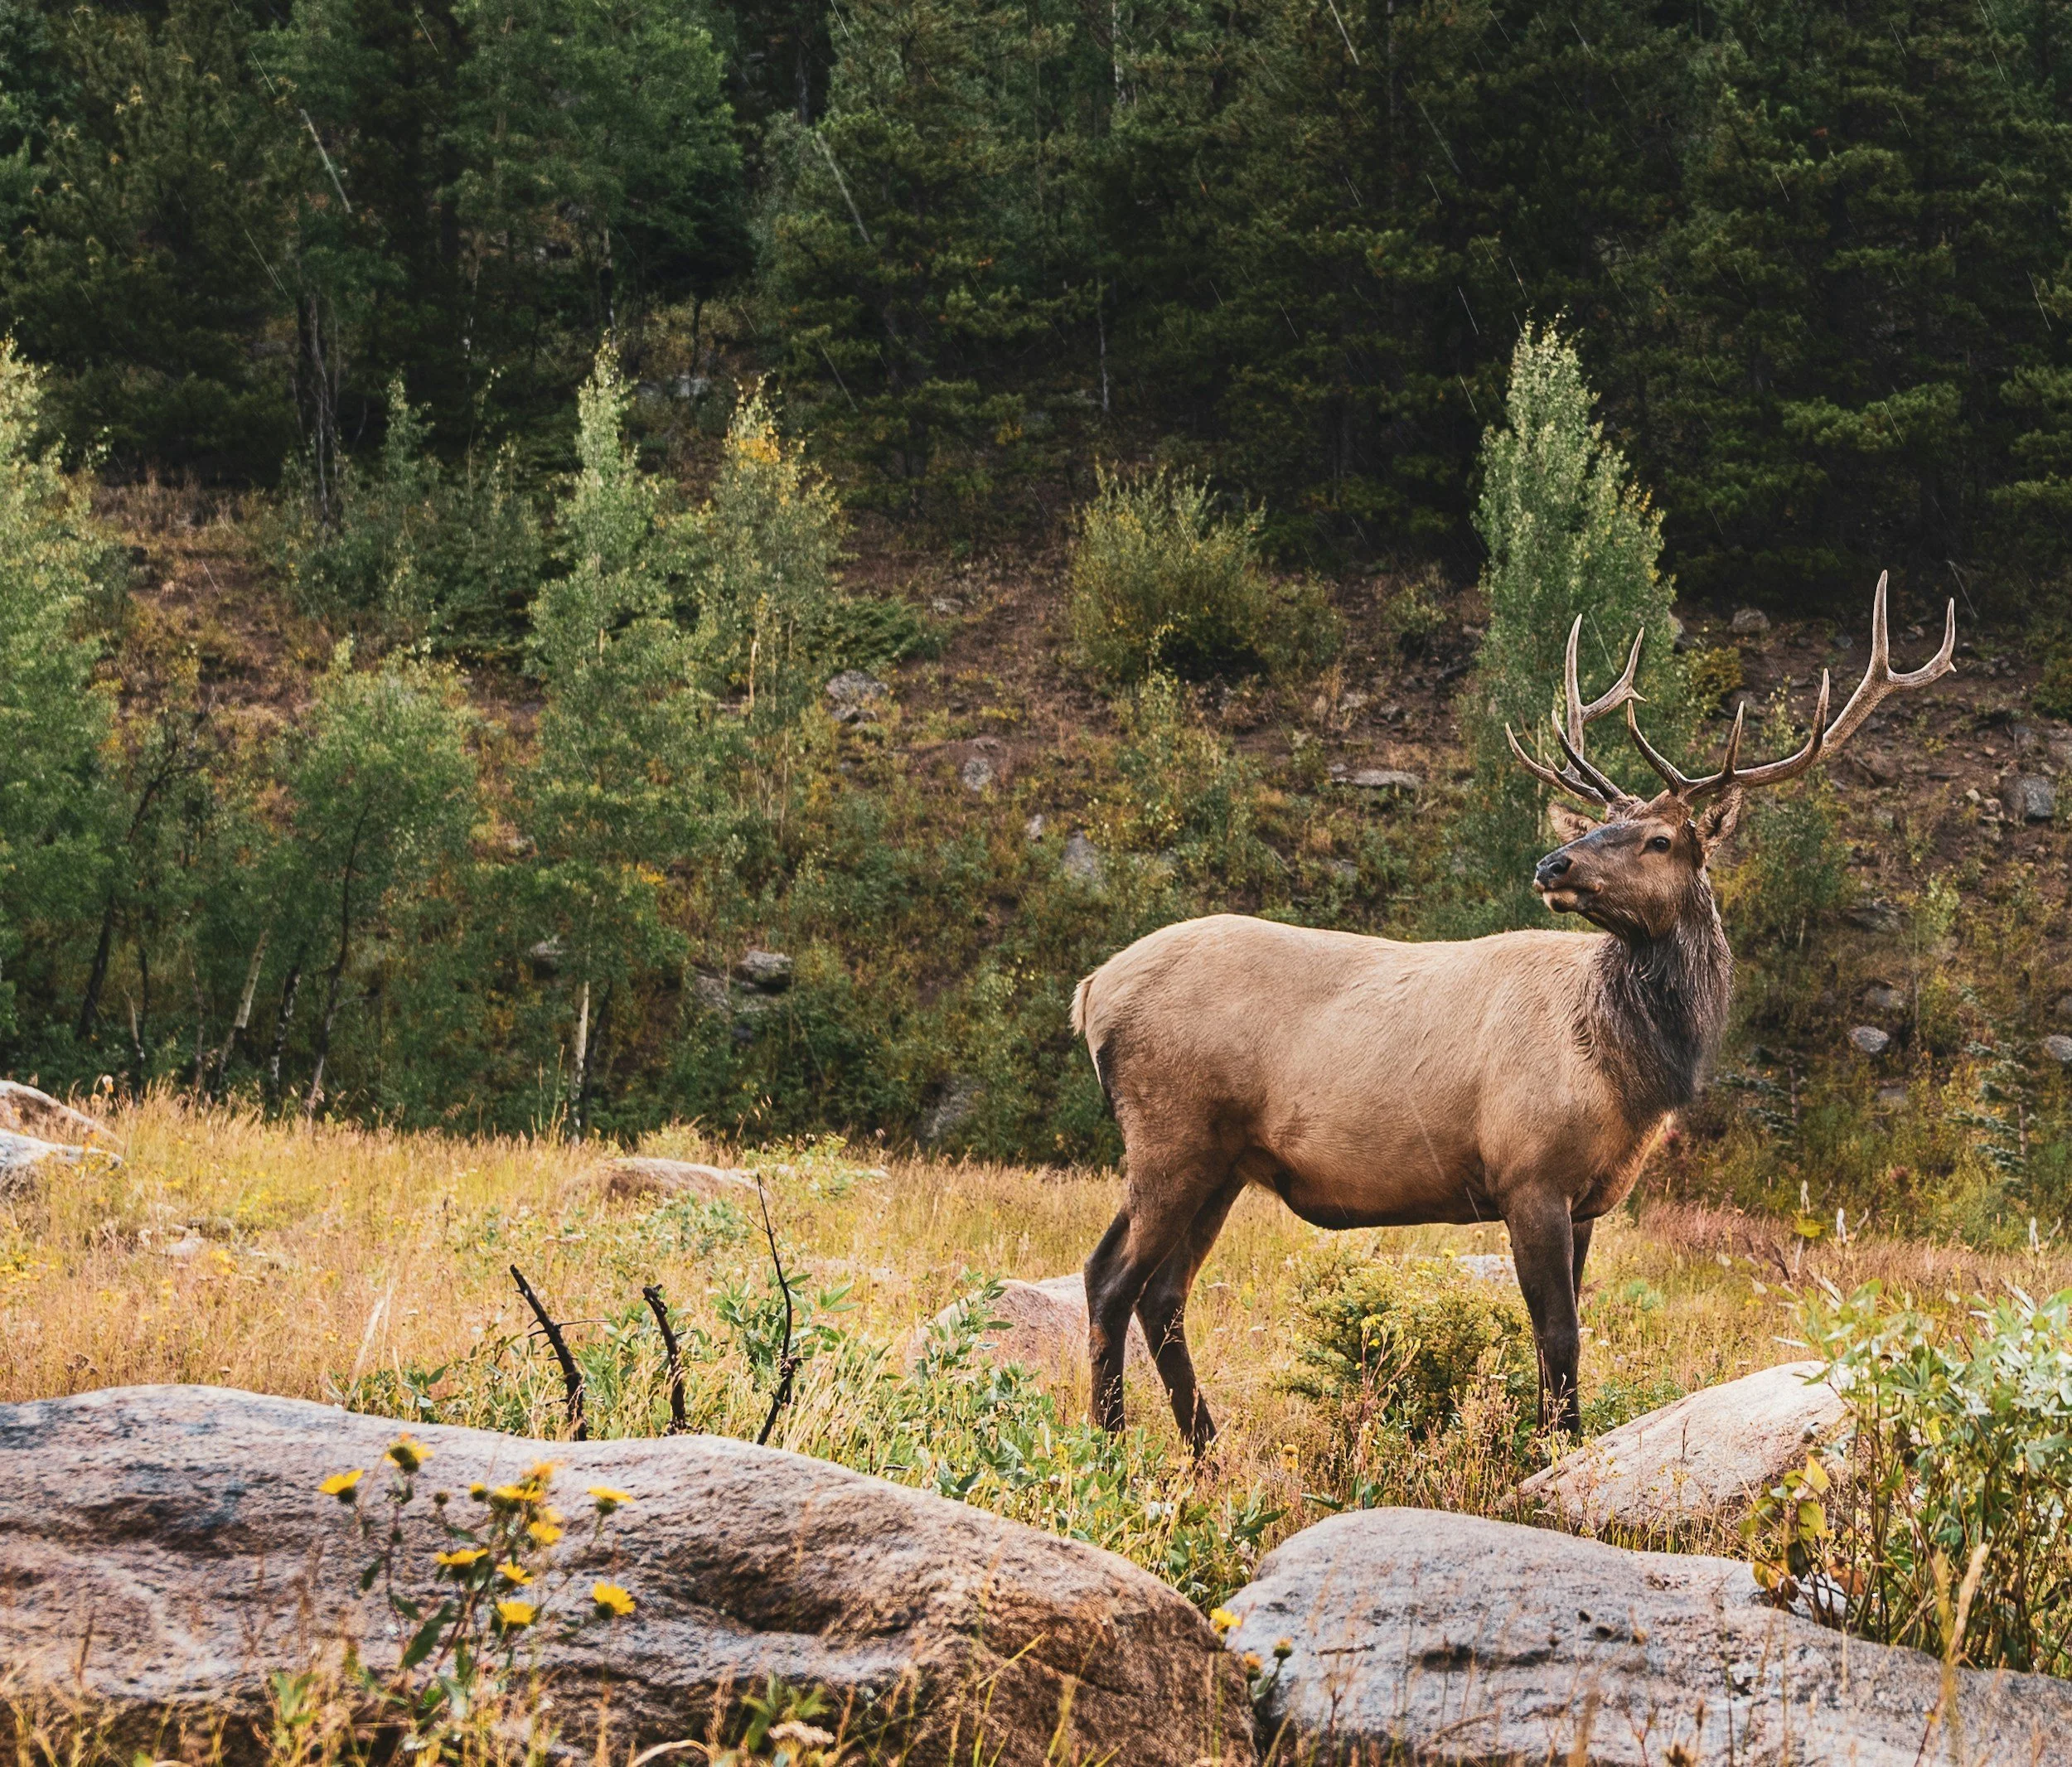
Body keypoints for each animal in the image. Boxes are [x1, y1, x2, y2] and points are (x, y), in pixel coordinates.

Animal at [1072, 576, 1955, 1449]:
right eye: (1605, 824)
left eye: (1660, 839)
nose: (1552, 862)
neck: (1628, 1073)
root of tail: (1091, 992)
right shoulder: (1529, 1171)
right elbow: (1559, 1335)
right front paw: (1554, 1454)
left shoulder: (1587, 1196)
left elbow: (1553, 1336)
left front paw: (1548, 1443)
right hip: (1172, 1131)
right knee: (1110, 1277)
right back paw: (1111, 1445)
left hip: (1223, 1160)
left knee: (1164, 1294)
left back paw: (1206, 1452)